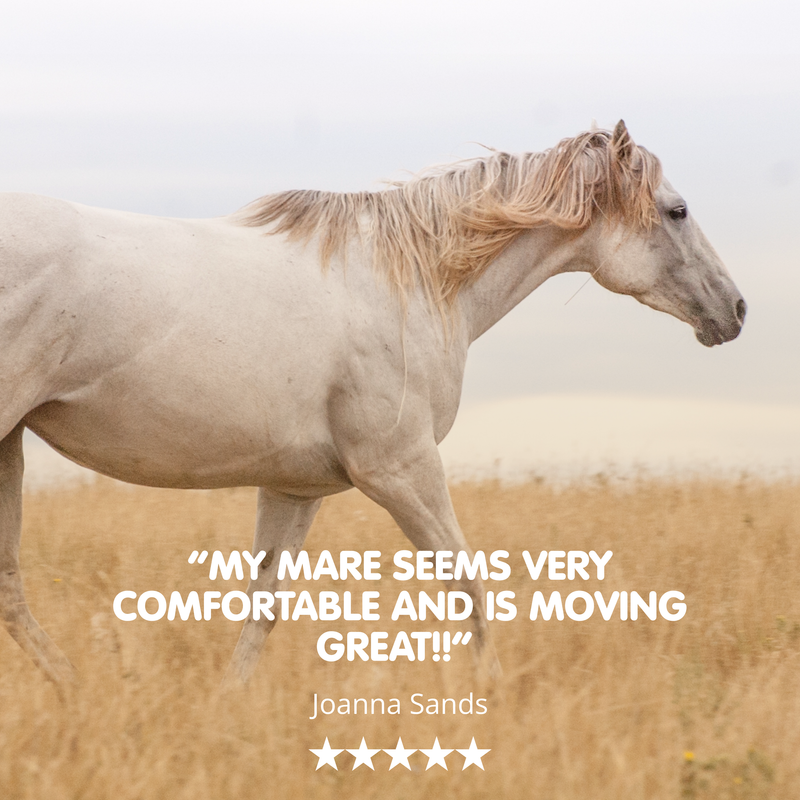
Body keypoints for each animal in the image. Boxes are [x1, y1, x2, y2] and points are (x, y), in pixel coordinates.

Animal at [0, 121, 746, 686]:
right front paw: (493, 697)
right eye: (677, 210)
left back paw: (74, 690)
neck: (418, 281)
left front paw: (225, 704)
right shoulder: (399, 469)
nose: (734, 311)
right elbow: (469, 588)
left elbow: (263, 605)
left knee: (9, 589)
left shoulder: (294, 488)